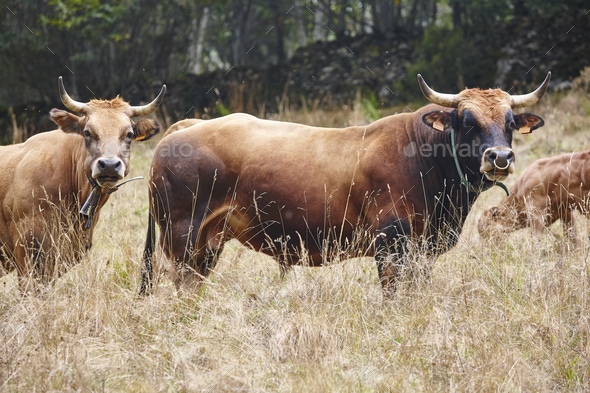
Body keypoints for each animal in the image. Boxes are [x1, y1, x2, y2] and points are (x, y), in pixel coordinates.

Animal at [141, 72, 552, 296]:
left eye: (510, 123)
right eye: (467, 121)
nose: (500, 157)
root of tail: (186, 127)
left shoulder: (423, 251)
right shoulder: (392, 245)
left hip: (207, 244)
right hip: (178, 236)